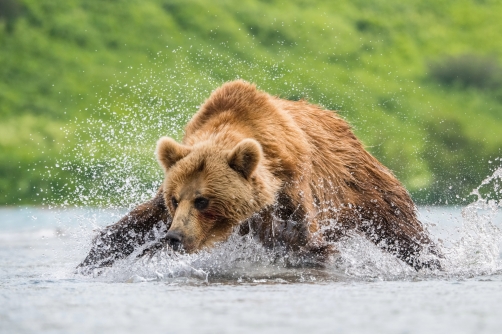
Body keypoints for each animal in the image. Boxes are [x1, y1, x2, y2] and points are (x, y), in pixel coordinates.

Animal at [76, 79, 442, 272]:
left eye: (203, 200)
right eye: (175, 199)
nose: (175, 237)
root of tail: (343, 123)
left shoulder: (291, 190)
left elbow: (301, 243)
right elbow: (134, 224)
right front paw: (91, 260)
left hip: (360, 183)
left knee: (401, 226)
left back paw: (433, 260)